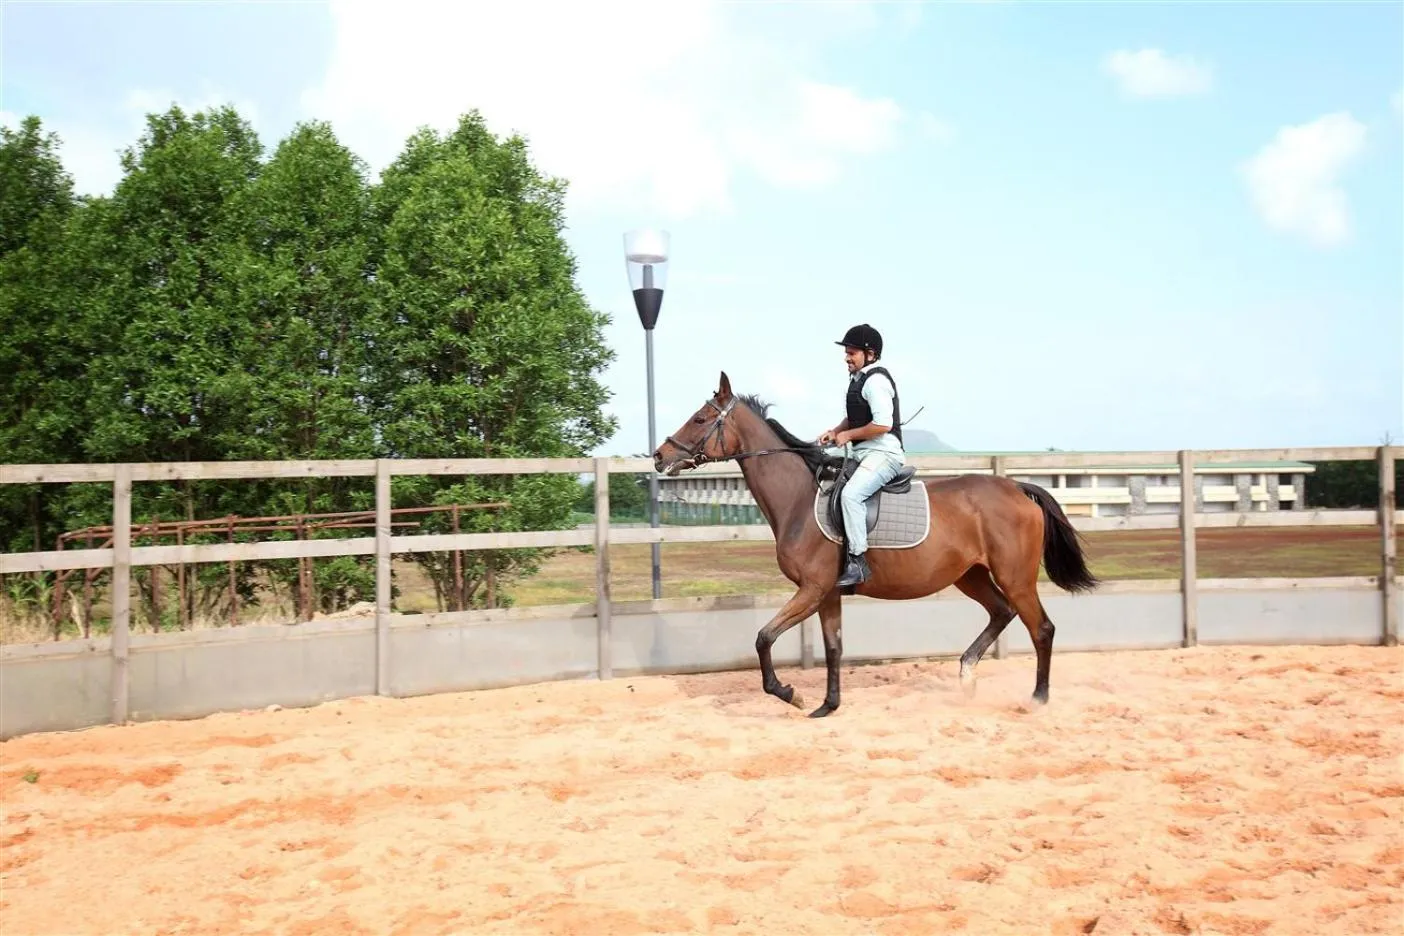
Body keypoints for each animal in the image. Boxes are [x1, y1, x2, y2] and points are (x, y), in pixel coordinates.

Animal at [652, 371, 1100, 718]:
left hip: (1015, 577)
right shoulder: (828, 594)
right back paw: (967, 675)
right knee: (1001, 613)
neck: (798, 499)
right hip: (969, 576)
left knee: (1041, 628)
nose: (658, 456)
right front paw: (827, 706)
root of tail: (1018, 488)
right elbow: (833, 648)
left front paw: (791, 695)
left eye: (700, 418)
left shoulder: (812, 589)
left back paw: (1037, 699)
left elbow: (764, 637)